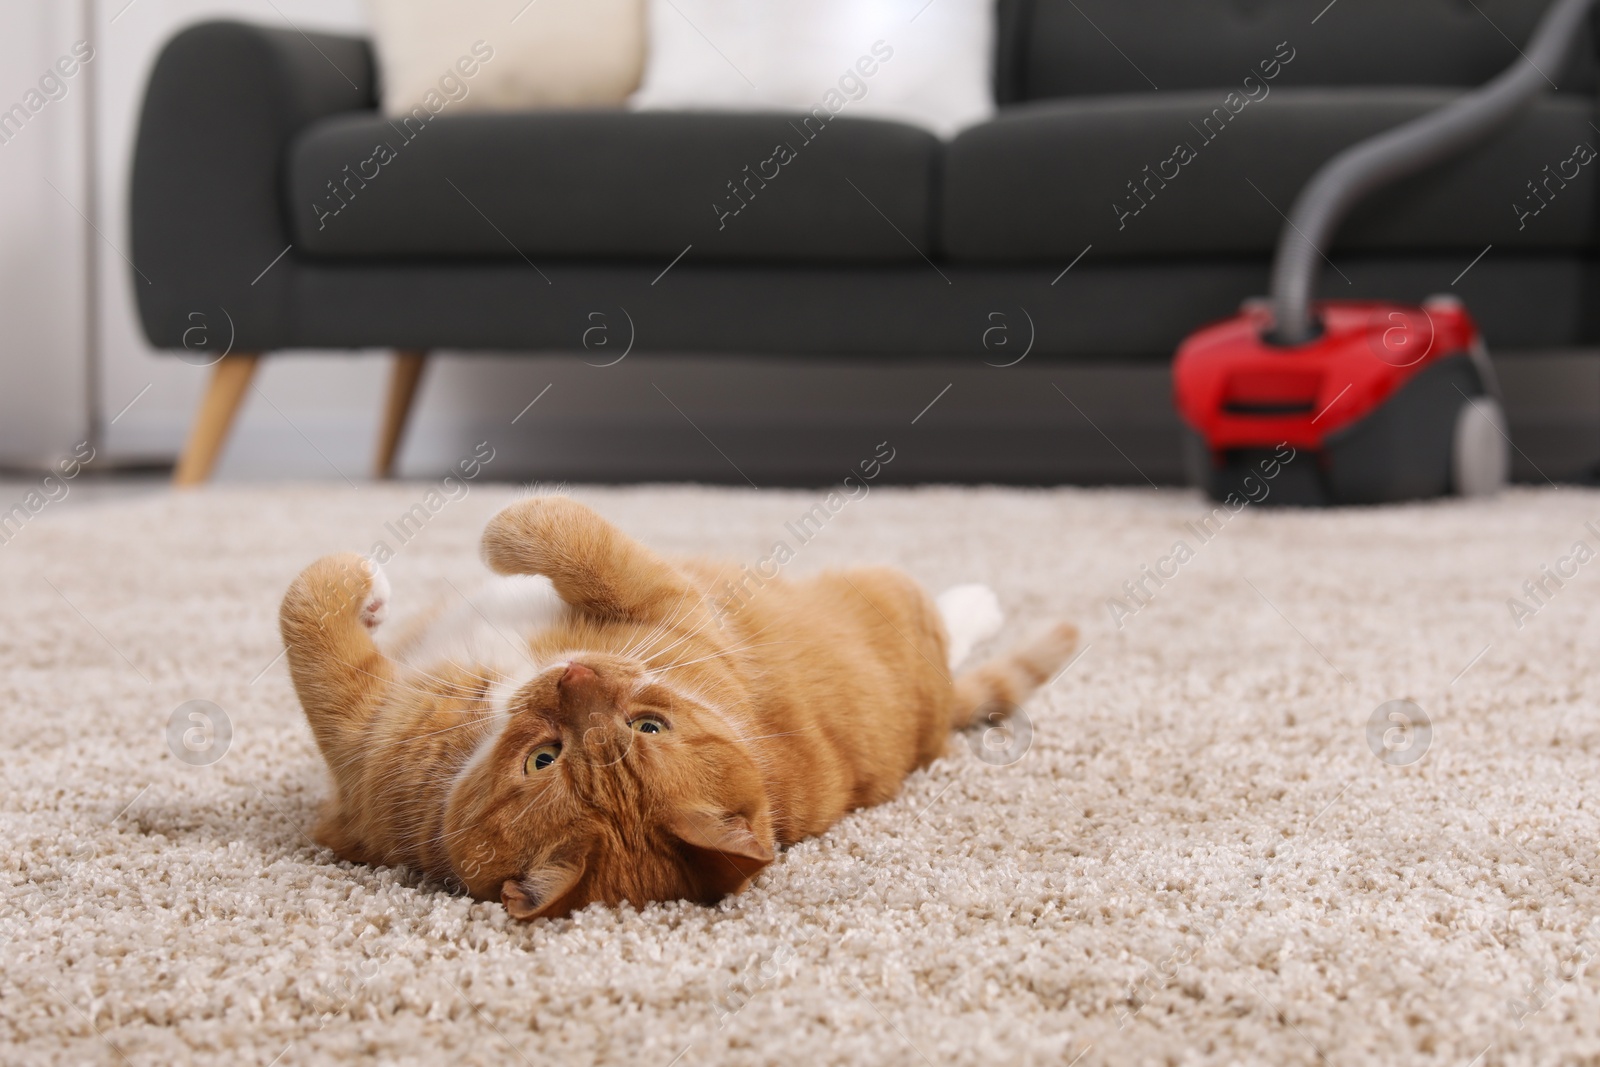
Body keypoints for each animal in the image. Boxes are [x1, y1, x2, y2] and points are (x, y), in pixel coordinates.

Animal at [278, 495, 1075, 921]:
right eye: (544, 759)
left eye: (647, 726)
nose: (573, 675)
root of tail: (938, 714)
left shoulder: (664, 601)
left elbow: (311, 600)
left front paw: (398, 574)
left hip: (883, 590)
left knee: (950, 620)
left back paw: (978, 600)